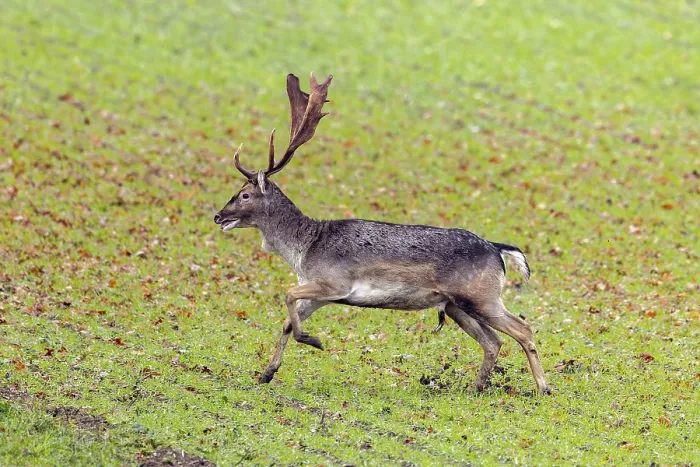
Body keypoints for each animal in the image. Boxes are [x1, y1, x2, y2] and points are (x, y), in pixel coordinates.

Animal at [214, 73, 551, 394]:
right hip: (457, 305)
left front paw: (313, 340)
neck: (303, 249)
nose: (218, 216)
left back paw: (543, 388)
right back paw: (477, 386)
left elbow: (287, 296)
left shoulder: (334, 282)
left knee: (523, 329)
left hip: (482, 296)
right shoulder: (321, 291)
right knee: (493, 341)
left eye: (244, 194)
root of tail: (498, 249)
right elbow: (286, 321)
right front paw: (267, 373)